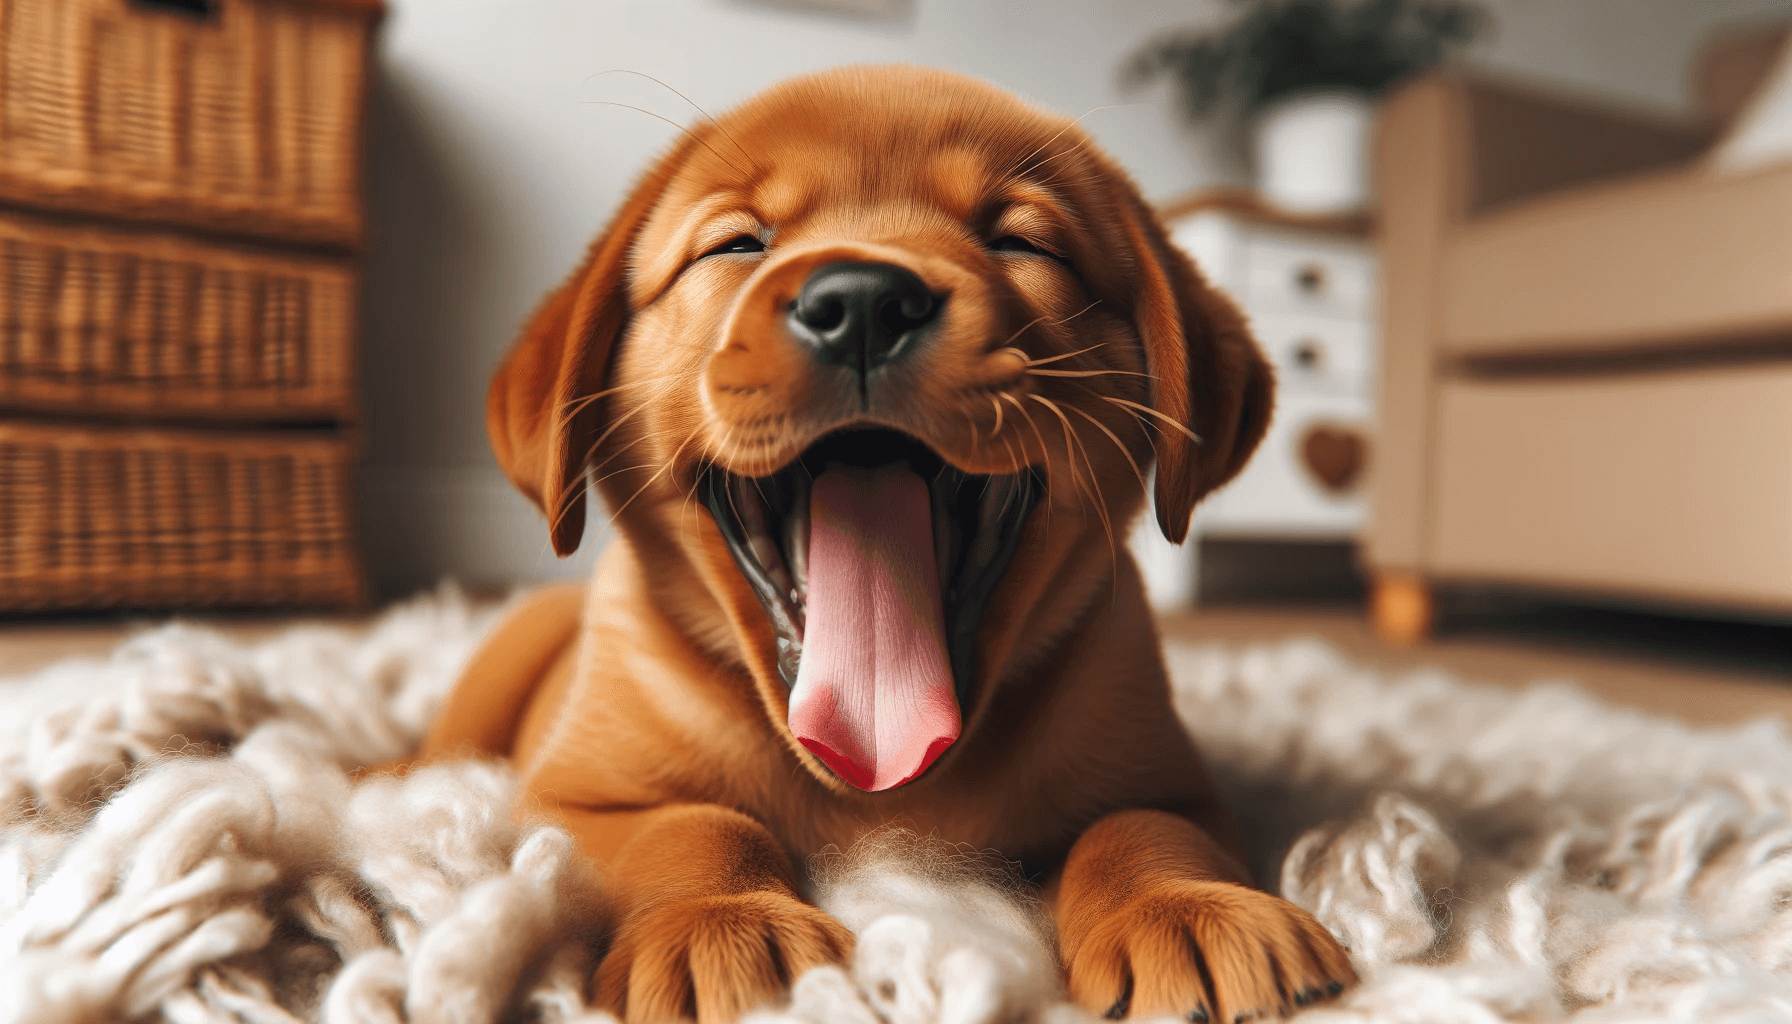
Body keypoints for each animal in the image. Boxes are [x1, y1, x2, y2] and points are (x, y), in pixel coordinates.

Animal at [422, 65, 1354, 1024]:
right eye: (736, 246)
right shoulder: (572, 802)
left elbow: (1137, 826)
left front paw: (1187, 908)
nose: (862, 303)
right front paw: (722, 926)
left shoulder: (1182, 789)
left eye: (1020, 242)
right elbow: (693, 824)